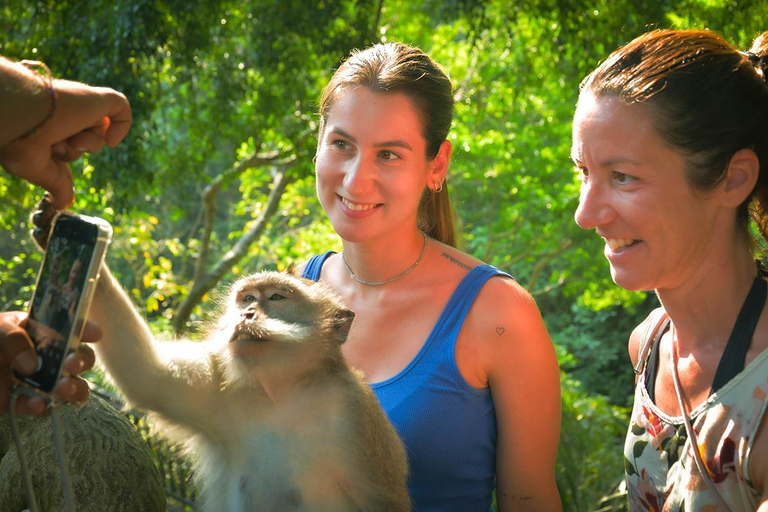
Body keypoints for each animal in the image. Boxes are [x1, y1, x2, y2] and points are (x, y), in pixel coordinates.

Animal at [87, 266, 411, 512]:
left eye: (277, 297)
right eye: (247, 299)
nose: (247, 314)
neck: (282, 392)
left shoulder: (355, 410)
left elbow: (383, 503)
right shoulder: (220, 386)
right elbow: (149, 377)